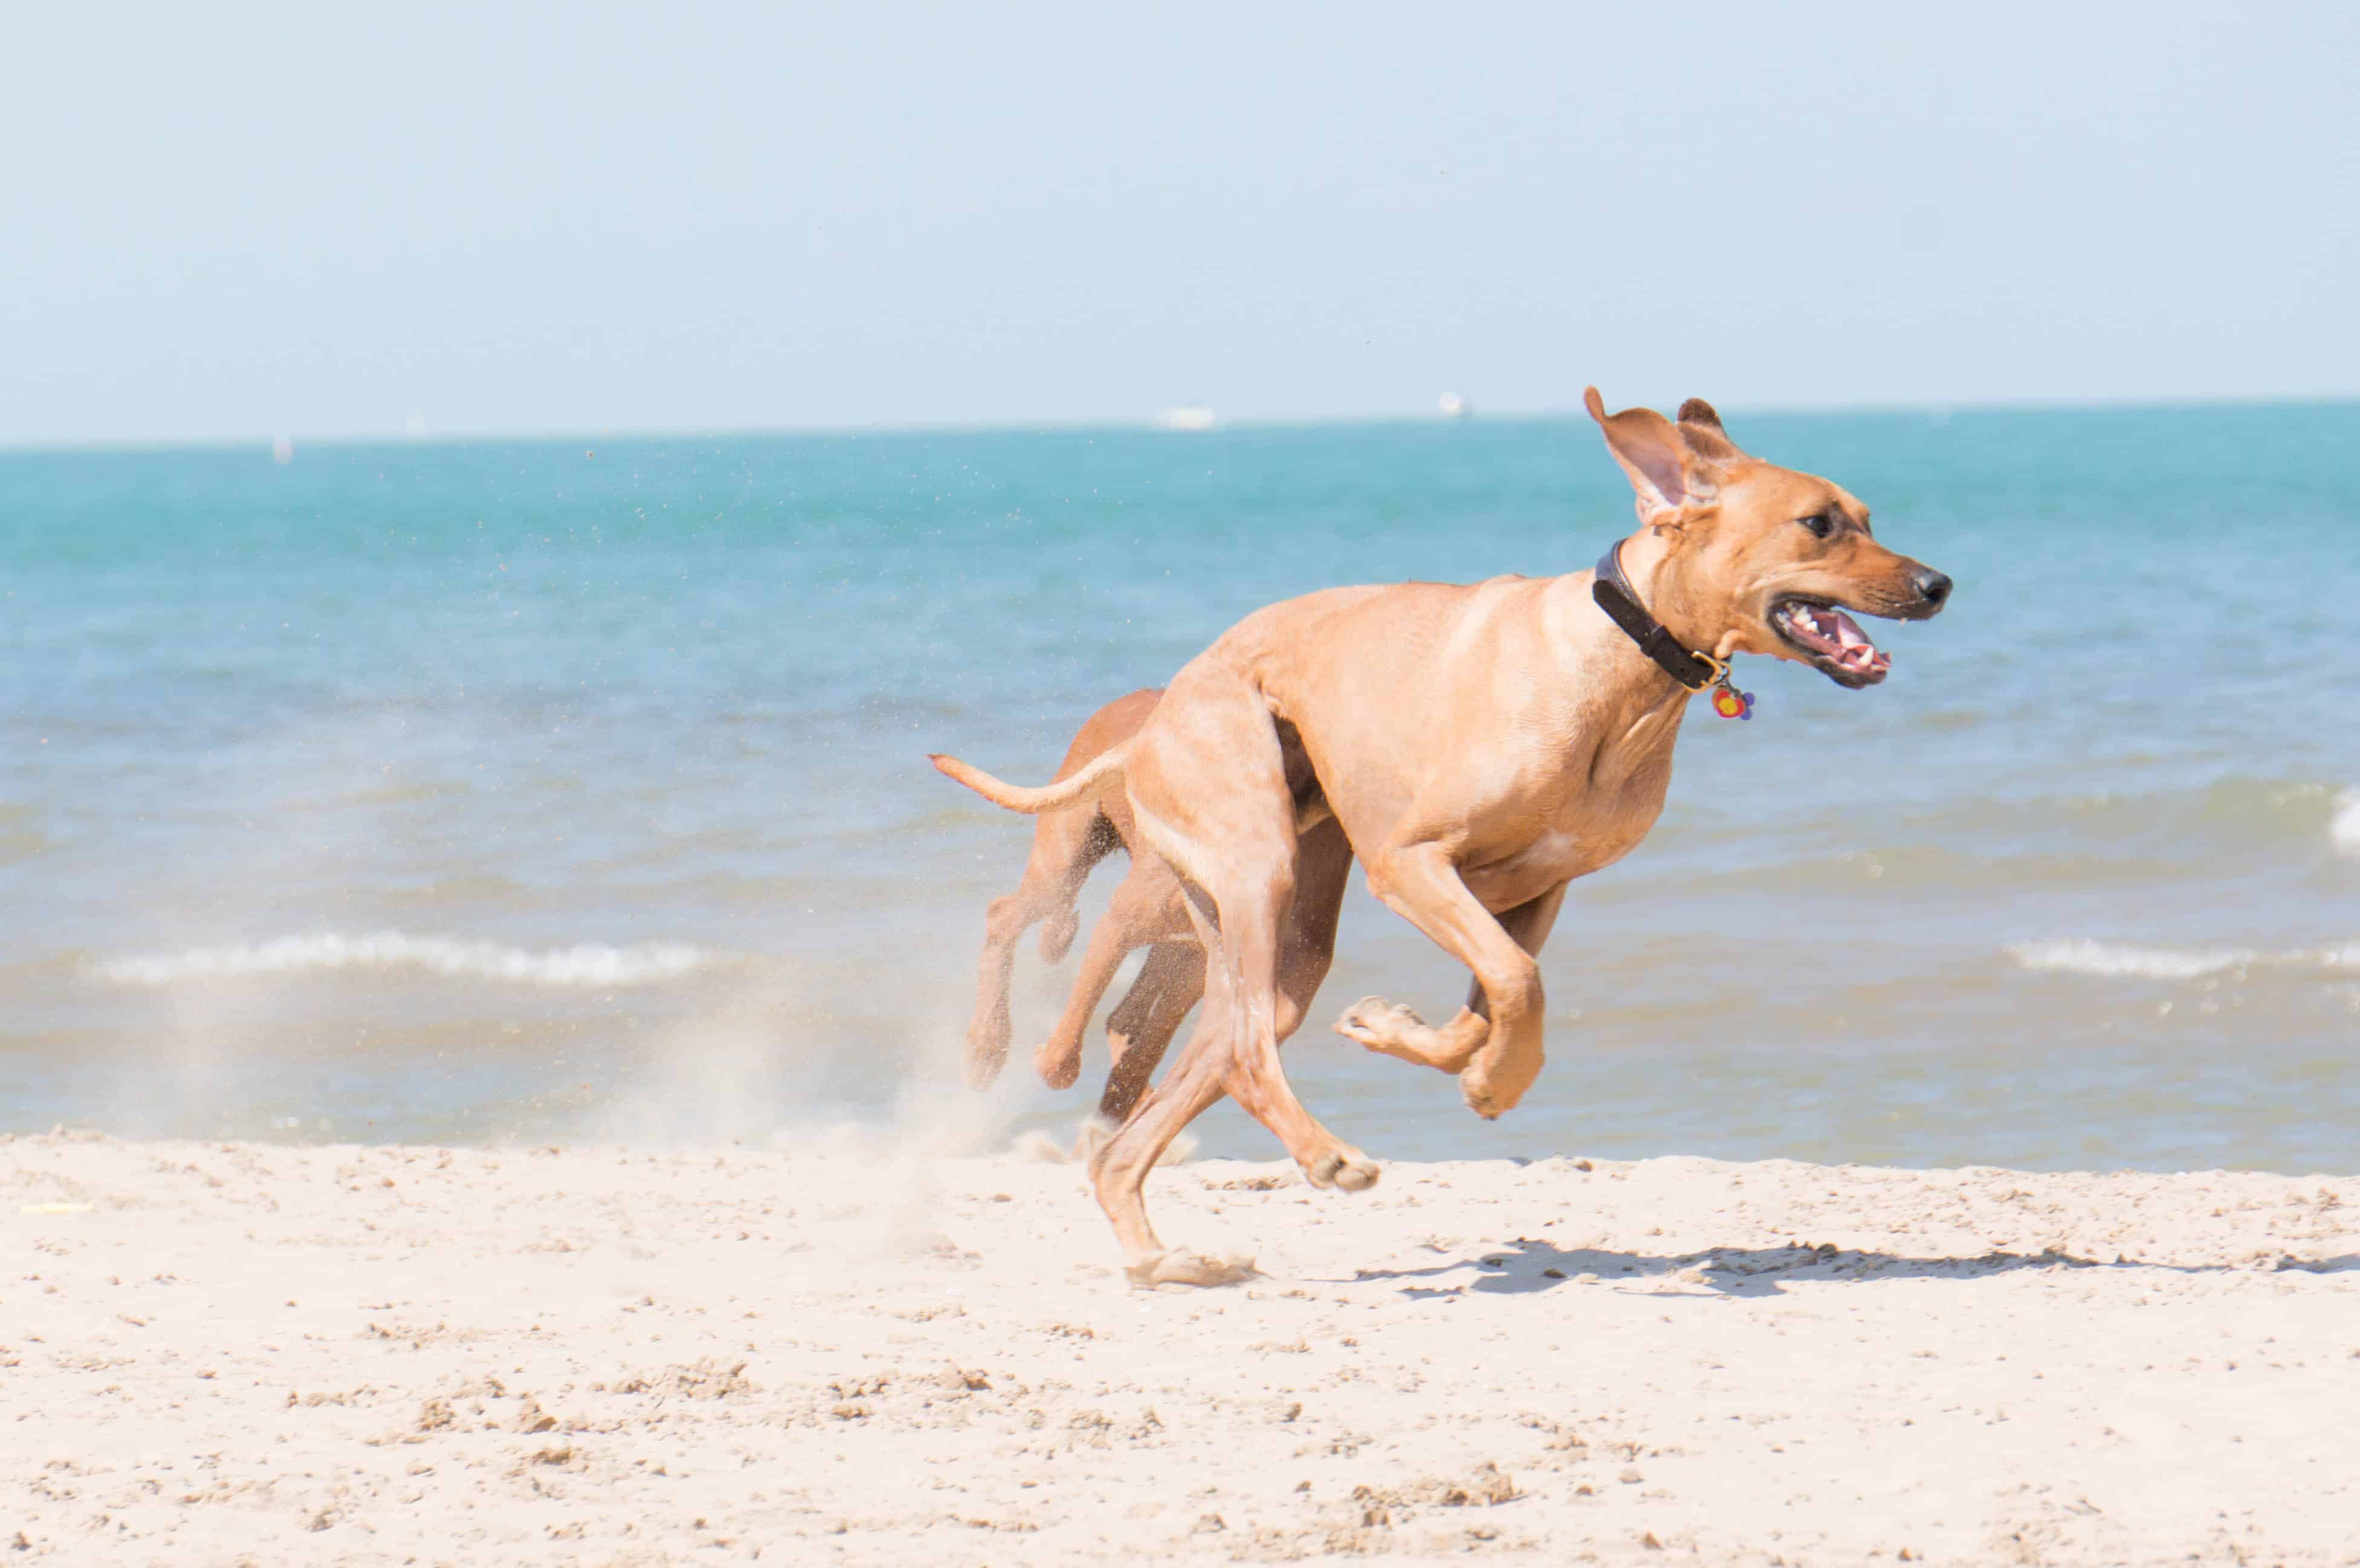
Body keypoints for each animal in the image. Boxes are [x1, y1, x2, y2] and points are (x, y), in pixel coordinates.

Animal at [929, 391, 1944, 1282]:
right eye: (1819, 524)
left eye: (1865, 516)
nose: (1938, 583)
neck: (1620, 664)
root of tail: (1153, 718)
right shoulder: (1411, 863)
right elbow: (1517, 984)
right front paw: (1496, 1079)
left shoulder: (1537, 891)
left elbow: (1490, 1000)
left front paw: (1420, 1039)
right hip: (1256, 864)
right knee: (1246, 1050)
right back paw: (1321, 1156)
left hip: (1281, 943)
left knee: (1177, 1089)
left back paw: (1160, 1255)